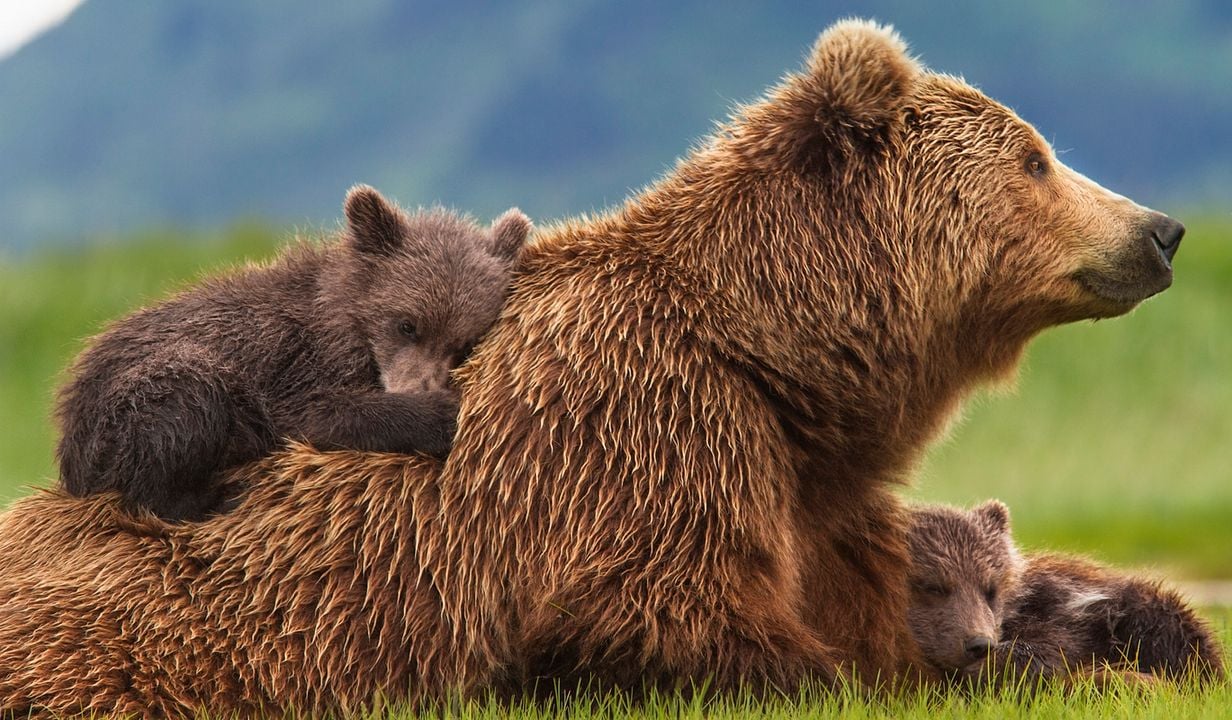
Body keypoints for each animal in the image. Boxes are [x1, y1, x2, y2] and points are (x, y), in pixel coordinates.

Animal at [54, 184, 531, 521]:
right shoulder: (295, 363)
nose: (419, 387)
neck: (346, 321)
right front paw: (441, 414)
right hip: (134, 402)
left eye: (463, 343)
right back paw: (216, 496)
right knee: (185, 404)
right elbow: (319, 414)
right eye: (407, 324)